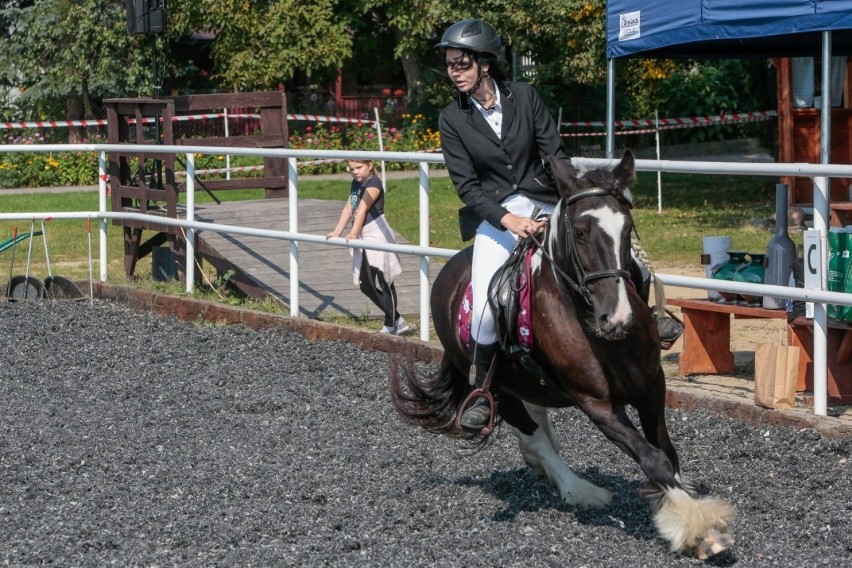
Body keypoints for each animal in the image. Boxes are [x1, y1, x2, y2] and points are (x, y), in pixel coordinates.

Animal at [390, 150, 736, 560]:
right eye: (581, 233)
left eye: (627, 229)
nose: (616, 318)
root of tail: (451, 273)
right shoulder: (597, 404)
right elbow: (653, 458)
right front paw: (697, 525)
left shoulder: (653, 387)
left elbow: (667, 451)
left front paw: (692, 518)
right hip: (500, 390)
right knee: (531, 434)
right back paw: (580, 490)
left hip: (529, 381)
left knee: (537, 424)